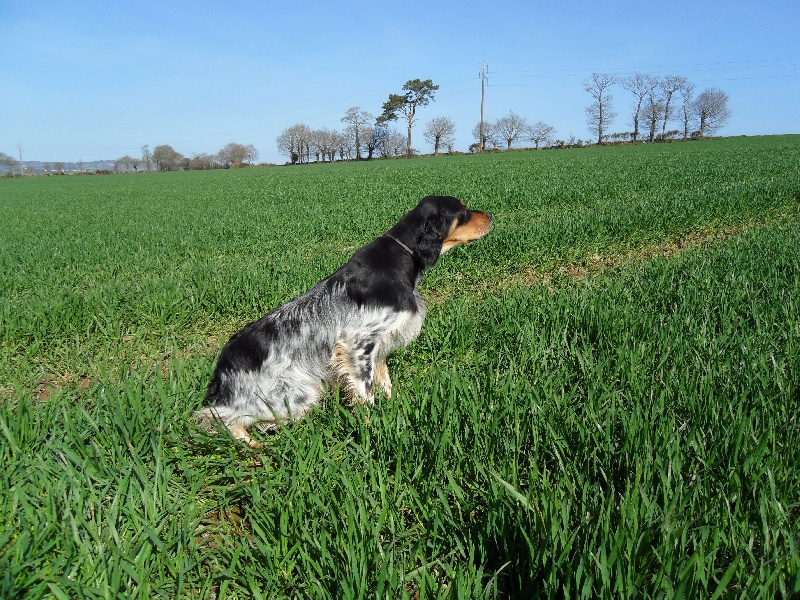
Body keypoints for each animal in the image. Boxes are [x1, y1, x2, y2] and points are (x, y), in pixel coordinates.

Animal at [197, 195, 490, 448]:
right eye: (463, 211)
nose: (490, 215)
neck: (404, 258)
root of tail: (222, 369)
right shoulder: (357, 345)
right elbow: (366, 394)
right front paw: (373, 428)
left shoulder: (379, 346)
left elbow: (385, 383)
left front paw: (393, 408)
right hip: (295, 394)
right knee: (222, 418)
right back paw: (254, 446)